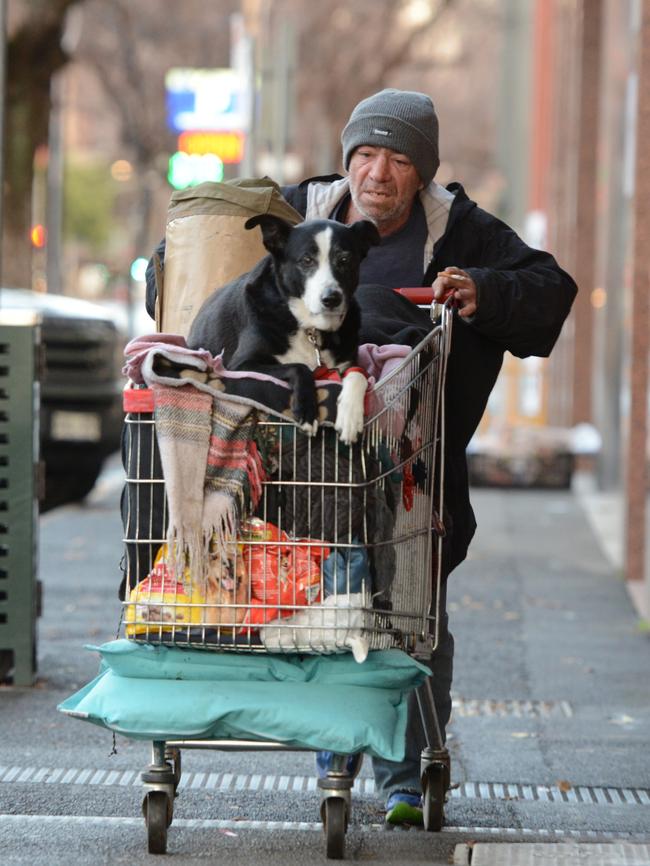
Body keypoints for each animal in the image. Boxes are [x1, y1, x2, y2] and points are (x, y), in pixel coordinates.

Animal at [187, 215, 380, 442]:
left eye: (344, 260)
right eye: (306, 260)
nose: (331, 299)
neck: (310, 328)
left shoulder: (347, 362)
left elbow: (359, 374)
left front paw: (350, 417)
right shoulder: (238, 366)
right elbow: (299, 367)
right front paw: (307, 410)